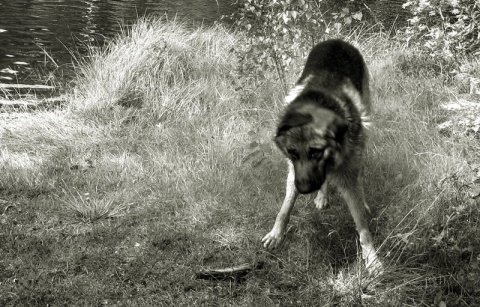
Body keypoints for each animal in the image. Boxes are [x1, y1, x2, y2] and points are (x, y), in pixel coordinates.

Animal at [260, 38, 384, 276]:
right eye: (292, 152)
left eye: (316, 152)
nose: (303, 189)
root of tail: (337, 40)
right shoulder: (294, 172)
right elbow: (285, 208)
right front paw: (277, 233)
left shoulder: (347, 176)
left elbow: (363, 228)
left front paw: (372, 259)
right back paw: (322, 196)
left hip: (365, 130)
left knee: (360, 173)